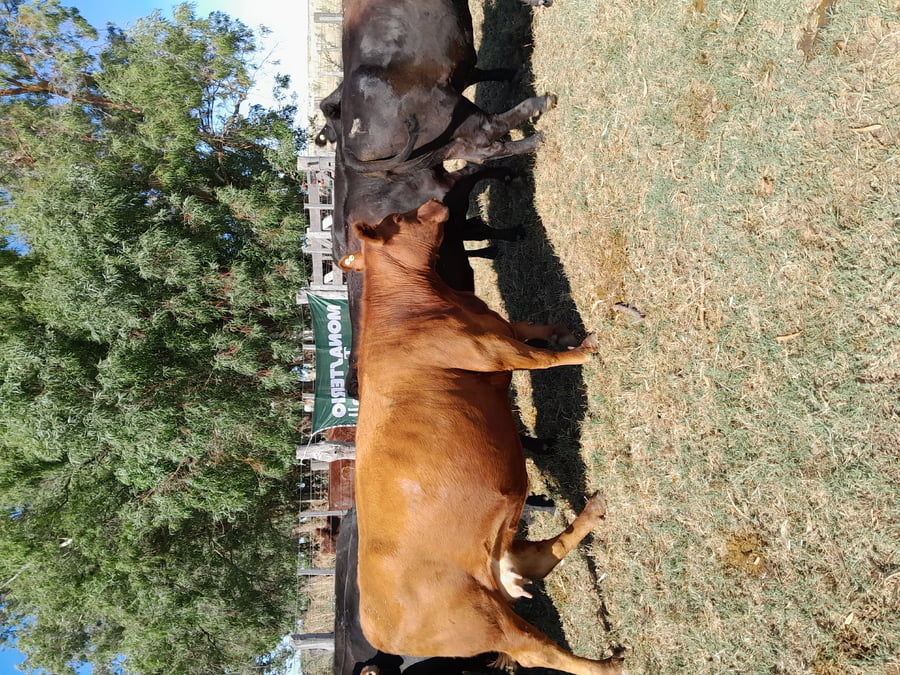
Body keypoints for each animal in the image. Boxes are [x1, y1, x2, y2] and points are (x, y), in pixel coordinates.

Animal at [338, 200, 623, 675]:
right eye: (398, 219)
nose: (432, 203)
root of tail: (377, 630)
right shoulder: (492, 351)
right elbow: (543, 358)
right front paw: (583, 348)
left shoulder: (499, 327)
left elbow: (531, 327)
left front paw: (564, 331)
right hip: (483, 620)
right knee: (537, 651)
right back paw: (609, 666)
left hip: (501, 561)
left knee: (547, 553)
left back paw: (593, 511)